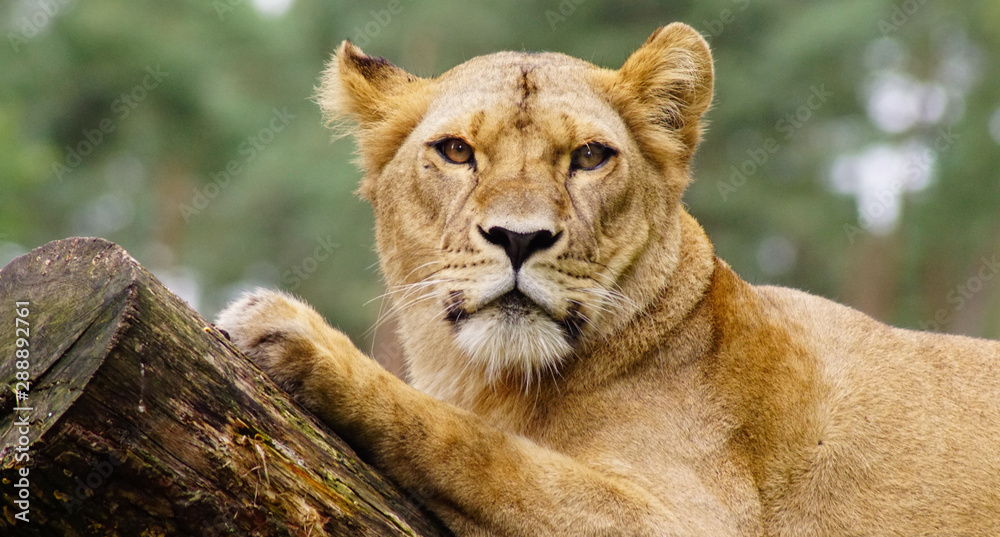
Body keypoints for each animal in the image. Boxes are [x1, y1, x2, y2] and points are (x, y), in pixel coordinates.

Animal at [216, 23, 1000, 536]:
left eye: (590, 156)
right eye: (457, 151)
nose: (520, 237)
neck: (493, 379)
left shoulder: (693, 517)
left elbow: (483, 448)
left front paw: (300, 341)